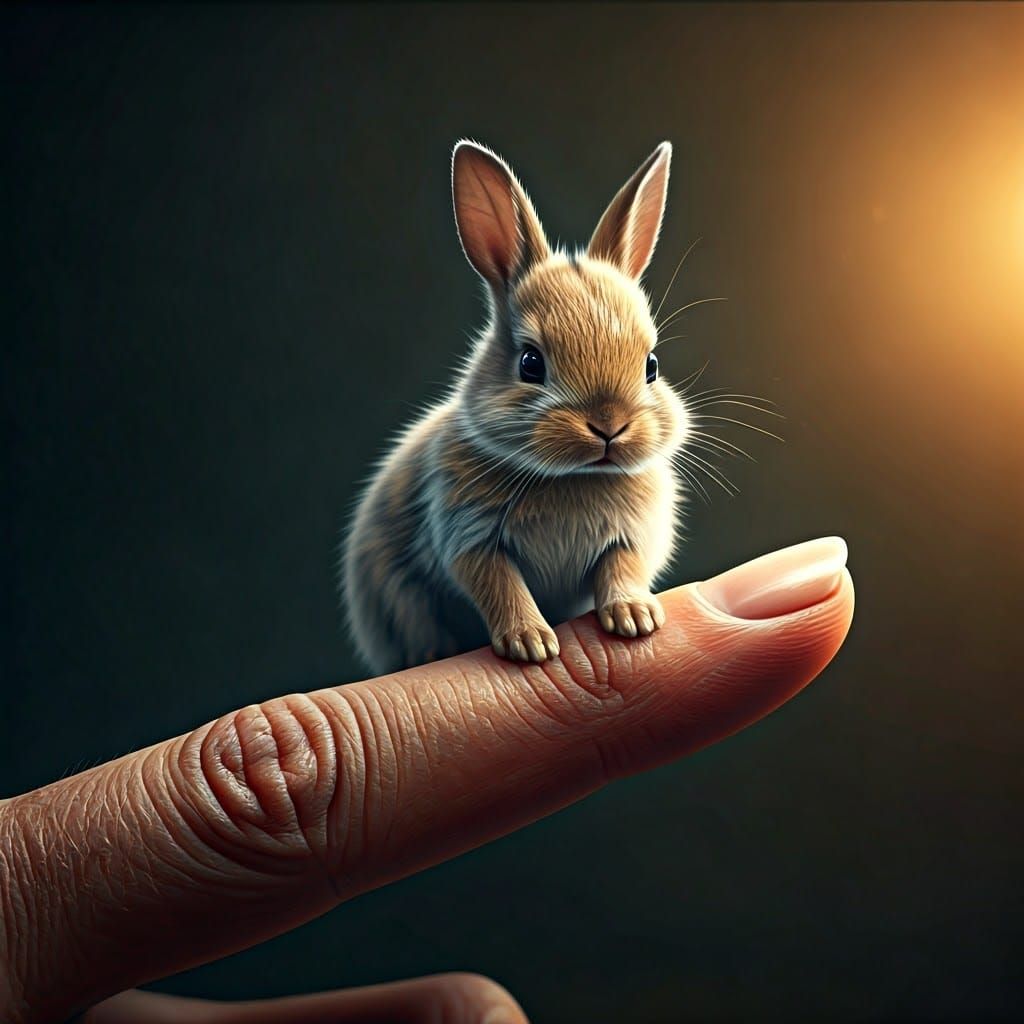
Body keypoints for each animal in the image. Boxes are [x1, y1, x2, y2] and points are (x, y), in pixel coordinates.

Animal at [342, 140, 691, 675]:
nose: (609, 426)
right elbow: (499, 584)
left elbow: (622, 567)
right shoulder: (468, 535)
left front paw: (634, 617)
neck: (575, 478)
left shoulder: (631, 536)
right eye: (530, 363)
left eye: (651, 365)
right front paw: (531, 643)